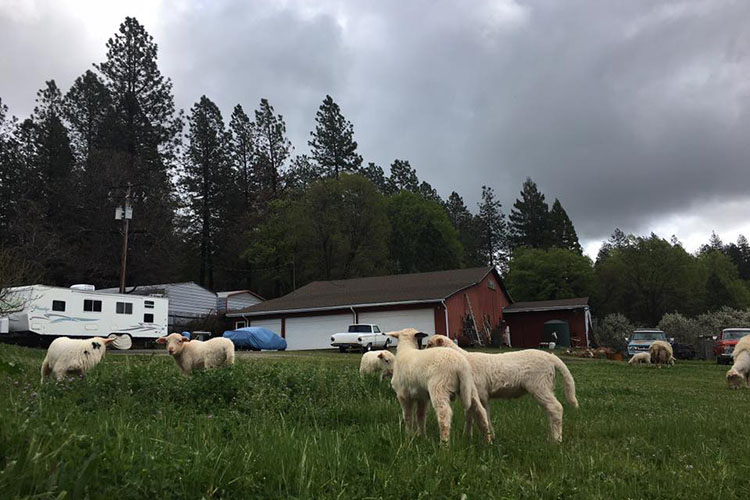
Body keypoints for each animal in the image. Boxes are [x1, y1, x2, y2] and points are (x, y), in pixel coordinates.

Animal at [426, 334, 580, 444]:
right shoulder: (471, 394)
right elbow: (470, 415)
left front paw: (489, 435)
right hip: (546, 386)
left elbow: (482, 414)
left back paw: (556, 440)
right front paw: (468, 436)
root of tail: (551, 357)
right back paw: (551, 436)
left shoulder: (481, 394)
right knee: (551, 410)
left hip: (539, 385)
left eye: (429, 345)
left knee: (555, 408)